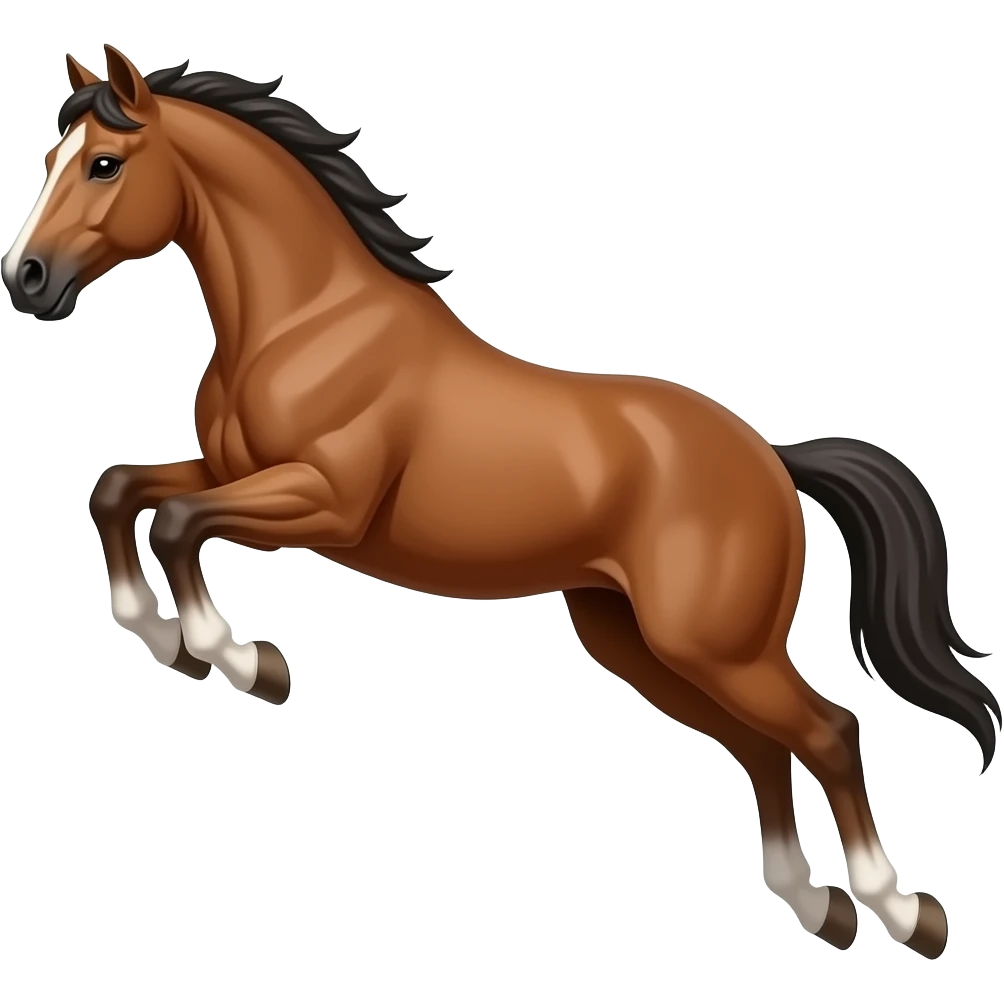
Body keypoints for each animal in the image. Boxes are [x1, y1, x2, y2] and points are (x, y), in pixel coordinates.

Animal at [4, 45, 997, 961]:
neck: (309, 323)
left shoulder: (323, 505)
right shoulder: (227, 468)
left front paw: (241, 660)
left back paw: (903, 911)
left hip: (715, 644)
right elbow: (119, 490)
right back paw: (815, 904)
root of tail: (773, 461)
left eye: (104, 164)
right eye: (53, 153)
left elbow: (178, 522)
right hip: (638, 640)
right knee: (763, 748)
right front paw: (160, 632)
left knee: (829, 731)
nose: (28, 280)